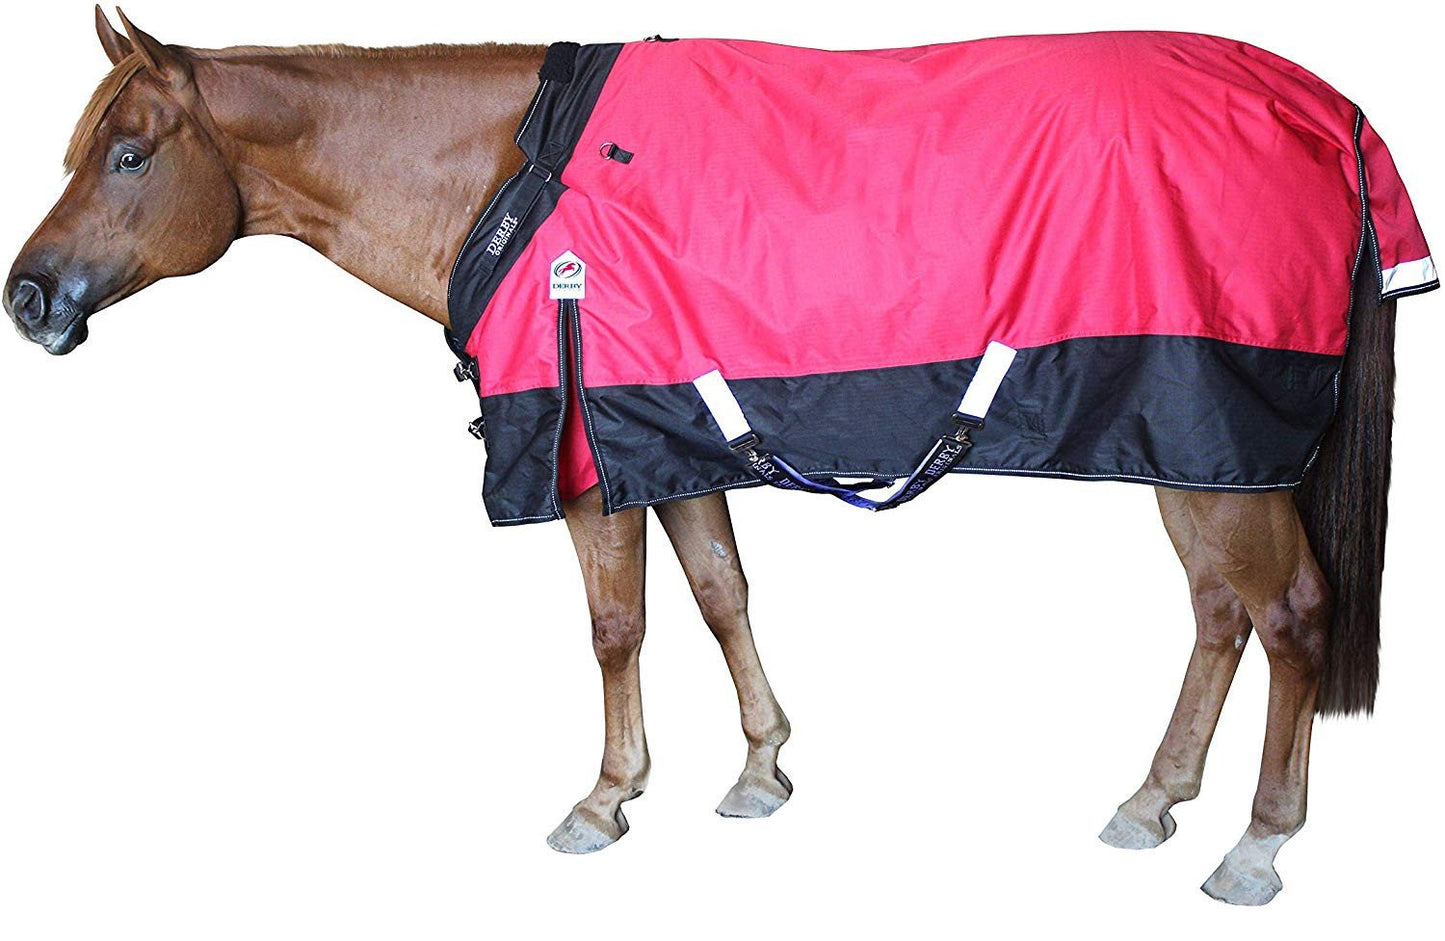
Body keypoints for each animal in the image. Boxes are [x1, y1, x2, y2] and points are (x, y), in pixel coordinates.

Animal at [3, 10, 1424, 905]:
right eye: (82, 148)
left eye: (127, 154)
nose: (28, 298)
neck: (515, 180)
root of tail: (1331, 113)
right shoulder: (665, 441)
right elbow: (719, 593)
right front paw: (759, 770)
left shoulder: (582, 453)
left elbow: (617, 625)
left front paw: (604, 797)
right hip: (1190, 447)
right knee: (1218, 615)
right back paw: (1150, 799)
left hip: (1213, 443)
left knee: (1289, 614)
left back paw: (1254, 847)